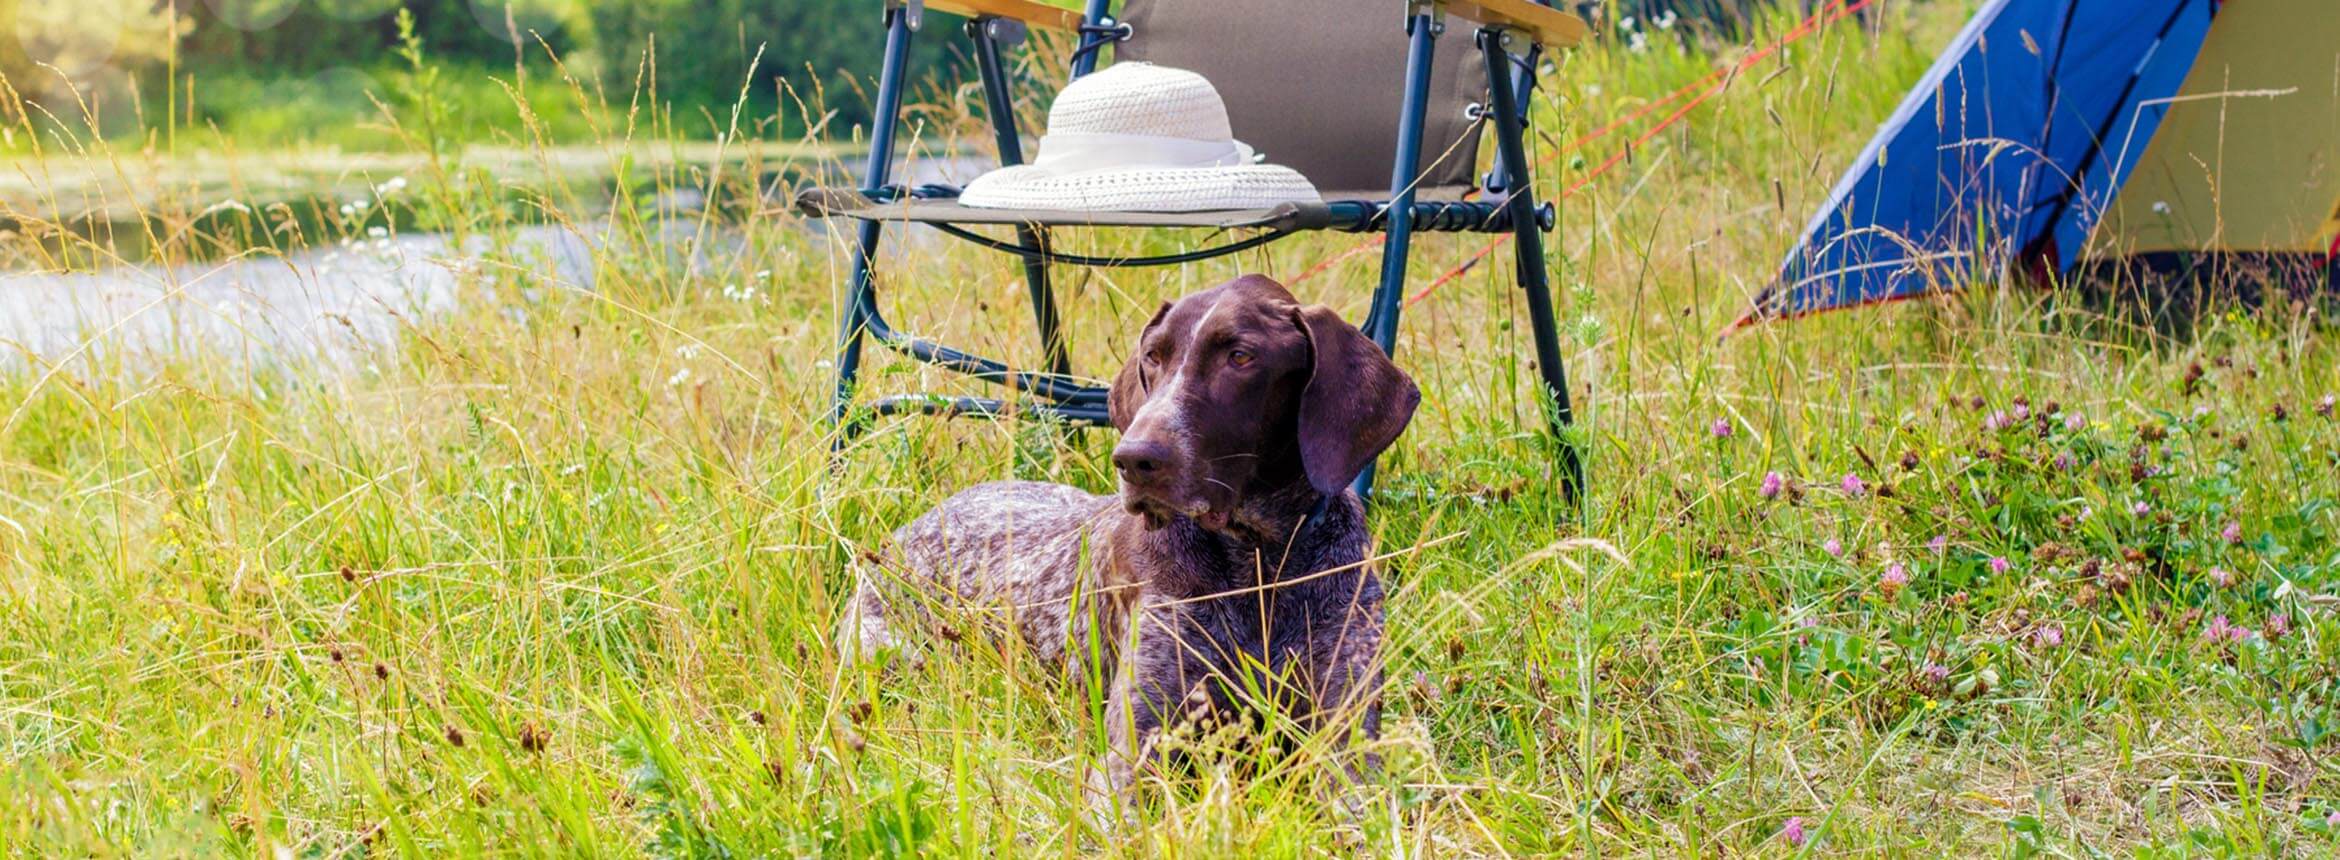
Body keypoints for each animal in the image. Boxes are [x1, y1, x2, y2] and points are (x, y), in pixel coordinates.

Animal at [847, 273, 1413, 794]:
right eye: (1153, 357)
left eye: (1240, 357)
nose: (1135, 459)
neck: (1258, 562)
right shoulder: (1134, 757)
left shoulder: (1348, 739)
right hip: (890, 651)